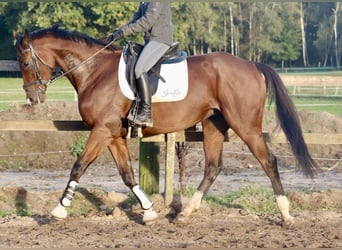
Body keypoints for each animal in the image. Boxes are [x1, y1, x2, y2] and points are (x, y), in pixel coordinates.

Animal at [13, 25, 318, 225]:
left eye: (25, 62)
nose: (32, 97)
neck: (94, 70)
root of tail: (251, 64)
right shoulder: (113, 134)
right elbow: (127, 175)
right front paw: (149, 211)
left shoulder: (101, 130)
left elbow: (78, 166)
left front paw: (59, 210)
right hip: (213, 124)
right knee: (213, 167)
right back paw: (185, 213)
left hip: (245, 125)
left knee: (268, 161)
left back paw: (285, 215)